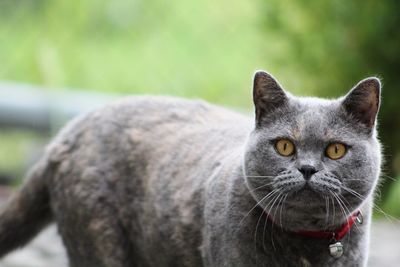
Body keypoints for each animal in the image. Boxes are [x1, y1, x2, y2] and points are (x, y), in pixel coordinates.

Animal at [0, 71, 382, 267]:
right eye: (285, 146)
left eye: (335, 150)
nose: (307, 168)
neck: (306, 248)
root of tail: (63, 136)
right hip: (99, 241)